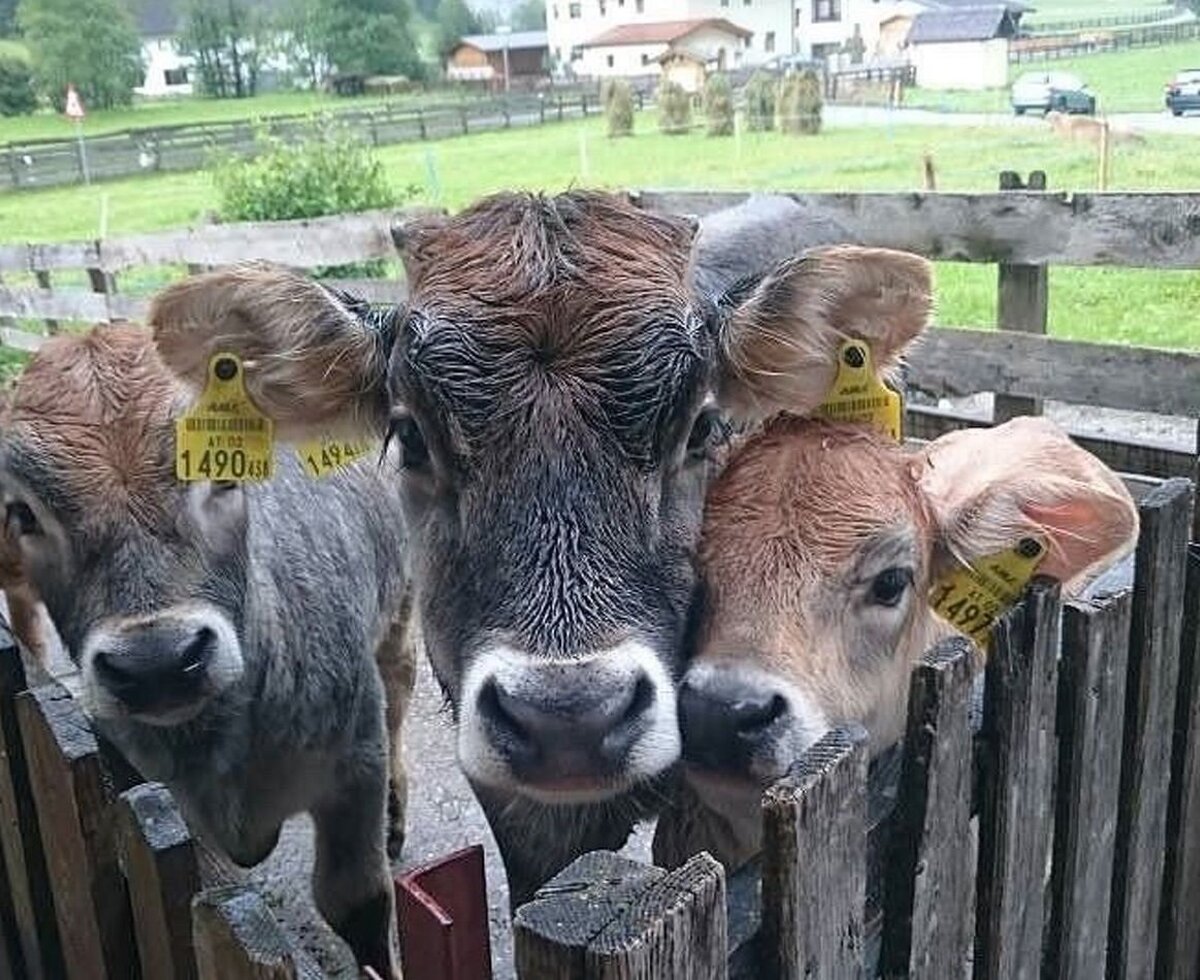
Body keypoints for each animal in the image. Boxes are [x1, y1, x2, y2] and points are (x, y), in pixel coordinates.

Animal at [0, 323, 416, 978]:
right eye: (22, 511)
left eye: (228, 467)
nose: (157, 662)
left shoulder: (357, 764)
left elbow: (360, 905)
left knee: (398, 695)